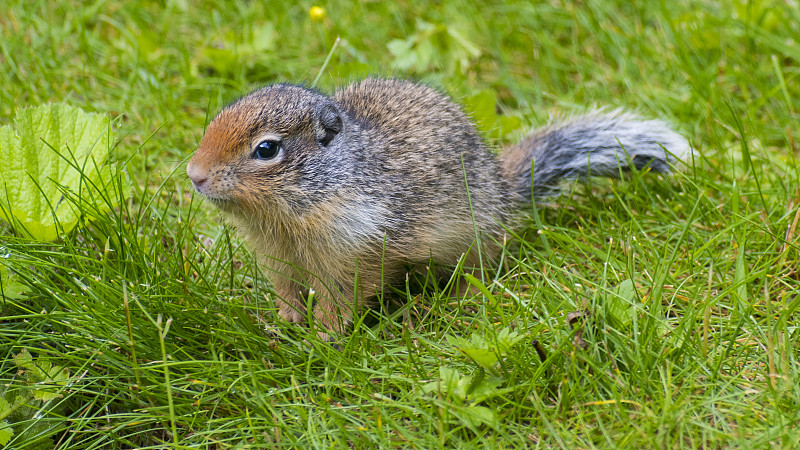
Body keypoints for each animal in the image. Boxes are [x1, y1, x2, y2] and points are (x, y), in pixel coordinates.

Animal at [188, 78, 688, 338]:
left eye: (267, 149)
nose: (194, 174)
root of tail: (504, 188)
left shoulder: (352, 252)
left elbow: (341, 298)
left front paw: (325, 336)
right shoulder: (277, 257)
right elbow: (287, 291)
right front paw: (284, 322)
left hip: (473, 241)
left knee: (481, 270)